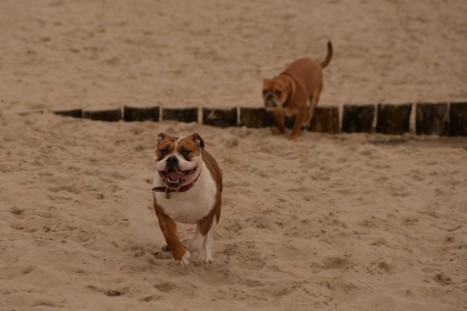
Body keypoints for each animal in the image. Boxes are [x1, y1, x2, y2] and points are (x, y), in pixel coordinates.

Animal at [152, 133, 221, 266]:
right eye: (164, 151)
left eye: (185, 151)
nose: (172, 159)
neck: (182, 189)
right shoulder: (163, 215)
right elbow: (170, 235)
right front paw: (180, 254)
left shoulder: (207, 216)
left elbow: (198, 240)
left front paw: (187, 245)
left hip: (216, 213)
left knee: (208, 237)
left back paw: (205, 255)